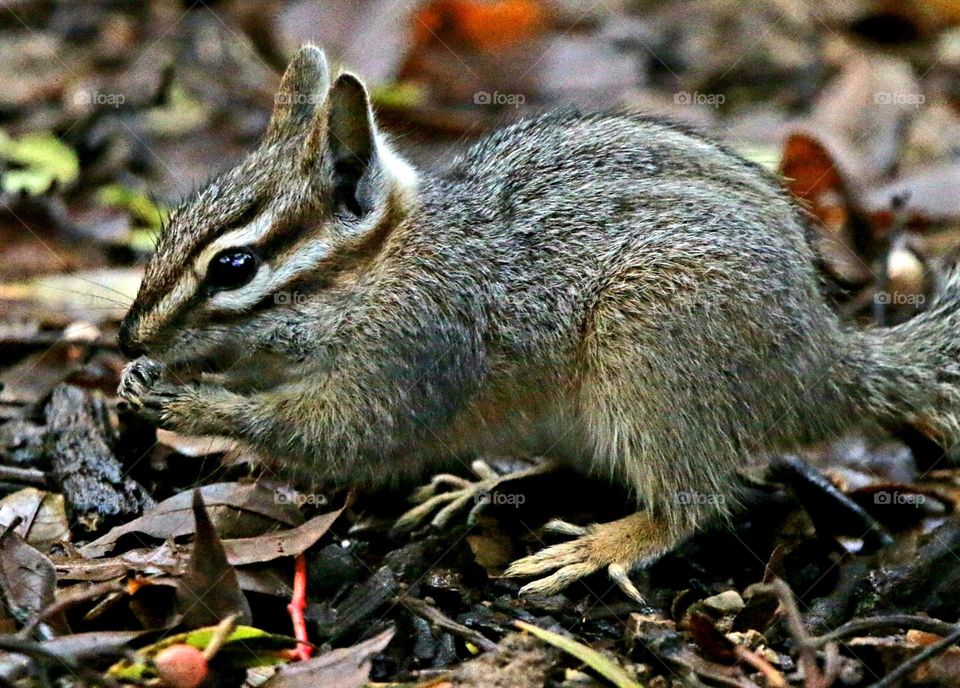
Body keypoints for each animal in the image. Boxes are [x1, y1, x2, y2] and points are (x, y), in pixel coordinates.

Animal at [117, 44, 960, 601]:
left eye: (234, 267)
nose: (131, 336)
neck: (378, 266)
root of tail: (827, 365)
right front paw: (138, 379)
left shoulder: (408, 355)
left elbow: (340, 435)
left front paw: (193, 404)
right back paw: (481, 486)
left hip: (652, 352)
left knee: (696, 501)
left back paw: (601, 543)